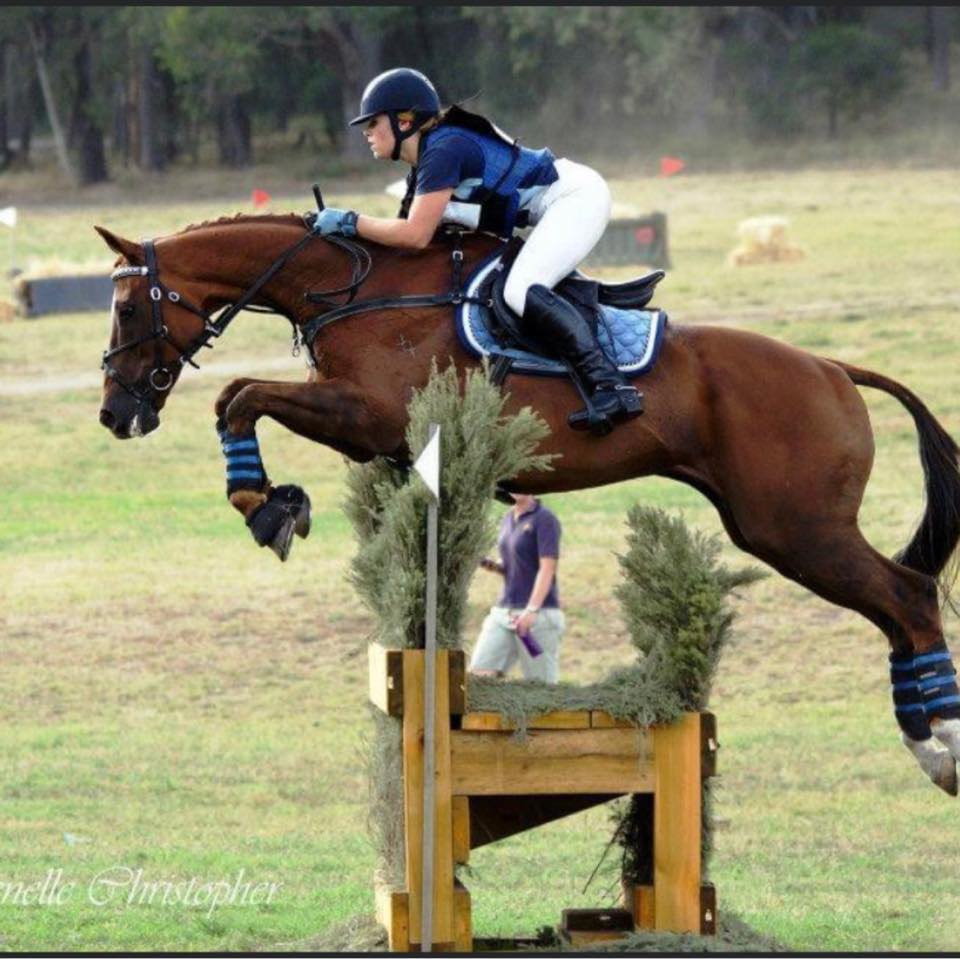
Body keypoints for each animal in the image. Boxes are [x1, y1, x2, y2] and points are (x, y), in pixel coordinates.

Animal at [94, 212, 960, 795]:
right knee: (898, 607)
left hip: (799, 528)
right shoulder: (368, 431)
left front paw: (264, 503)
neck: (358, 290)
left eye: (130, 310)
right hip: (777, 528)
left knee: (910, 595)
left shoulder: (368, 415)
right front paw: (274, 499)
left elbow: (241, 397)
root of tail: (832, 367)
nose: (115, 413)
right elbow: (239, 398)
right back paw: (924, 736)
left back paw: (941, 741)